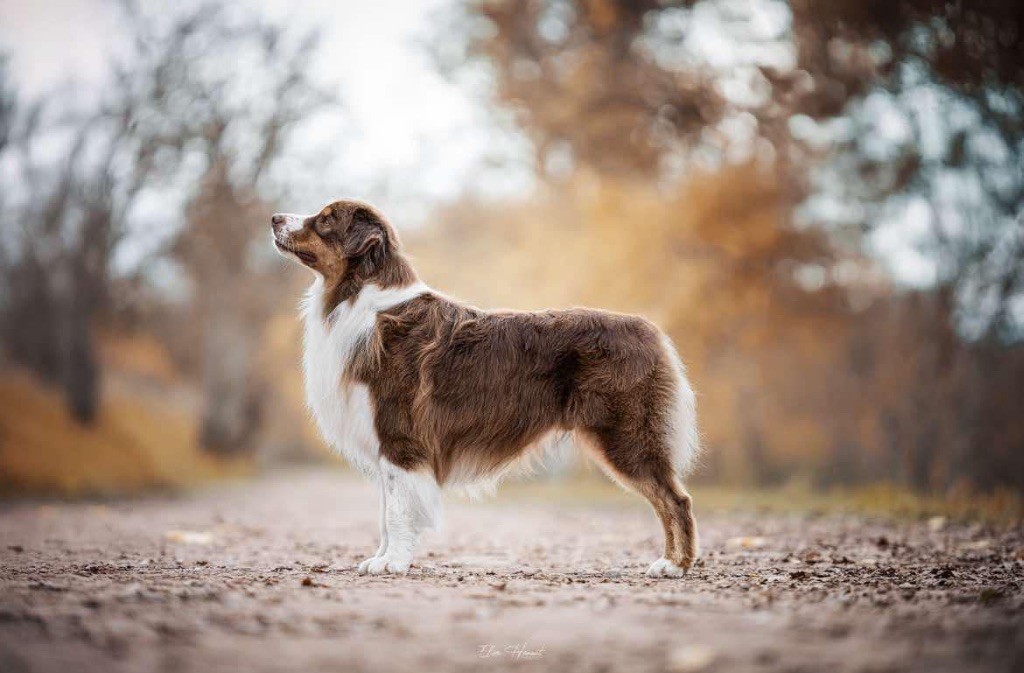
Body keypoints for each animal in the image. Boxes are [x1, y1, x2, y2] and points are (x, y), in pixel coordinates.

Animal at [270, 199, 704, 577]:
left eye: (326, 219)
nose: (274, 218)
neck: (361, 299)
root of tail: (648, 329)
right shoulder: (387, 444)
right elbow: (384, 511)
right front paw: (381, 558)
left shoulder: (399, 437)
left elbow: (396, 510)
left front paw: (392, 563)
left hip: (626, 435)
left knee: (676, 499)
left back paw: (675, 566)